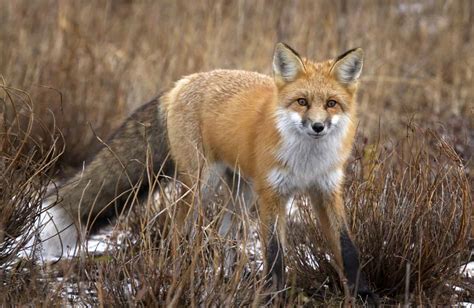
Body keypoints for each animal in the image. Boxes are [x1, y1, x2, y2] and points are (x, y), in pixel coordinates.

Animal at [37, 43, 376, 304]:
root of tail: (181, 83)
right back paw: (176, 278)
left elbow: (347, 247)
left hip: (241, 193)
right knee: (177, 231)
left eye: (331, 104)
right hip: (202, 185)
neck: (306, 159)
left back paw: (225, 278)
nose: (317, 126)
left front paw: (362, 294)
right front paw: (274, 297)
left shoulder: (326, 190)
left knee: (224, 234)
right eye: (302, 102)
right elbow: (275, 253)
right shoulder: (272, 195)